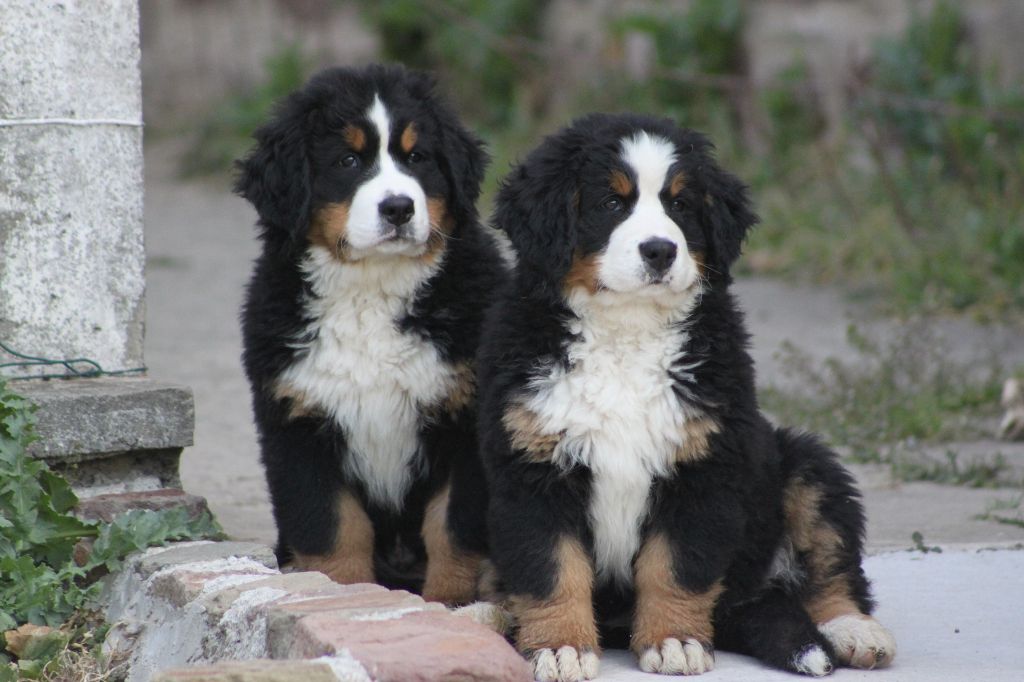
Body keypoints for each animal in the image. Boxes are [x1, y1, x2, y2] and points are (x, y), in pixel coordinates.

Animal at [233, 66, 503, 602]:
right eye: (348, 160)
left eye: (417, 158)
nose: (398, 207)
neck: (371, 290)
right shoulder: (300, 423)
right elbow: (333, 528)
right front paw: (341, 593)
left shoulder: (464, 424)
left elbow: (451, 528)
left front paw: (450, 602)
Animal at [475, 114, 892, 675]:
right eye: (611, 203)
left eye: (681, 205)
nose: (660, 250)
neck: (626, 335)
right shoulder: (533, 471)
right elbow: (551, 569)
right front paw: (560, 647)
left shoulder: (702, 467)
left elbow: (673, 566)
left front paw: (673, 640)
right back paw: (490, 615)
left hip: (805, 465)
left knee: (830, 562)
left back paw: (853, 630)